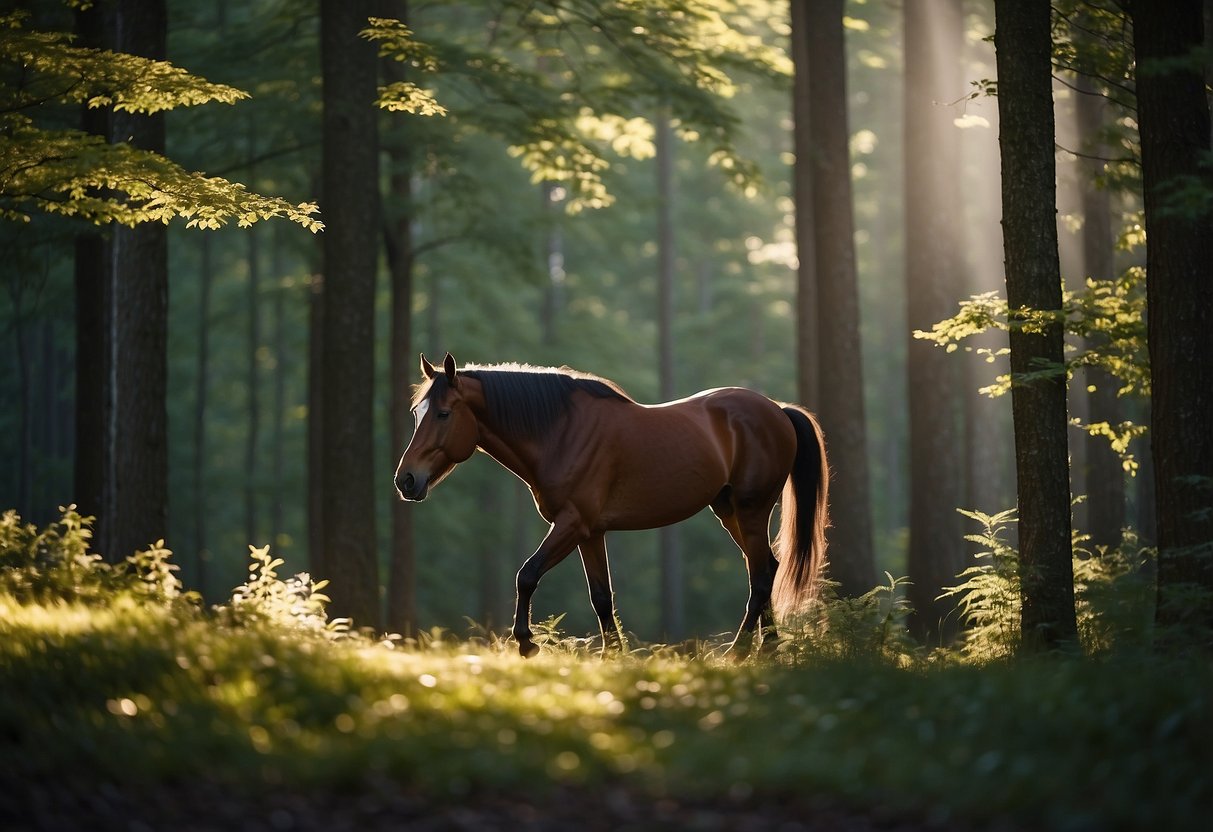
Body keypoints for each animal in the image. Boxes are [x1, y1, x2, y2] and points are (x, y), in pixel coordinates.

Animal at [393, 351, 829, 659]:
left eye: (443, 413)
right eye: (415, 413)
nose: (405, 480)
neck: (561, 433)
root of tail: (777, 410)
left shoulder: (571, 524)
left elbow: (527, 575)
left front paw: (526, 643)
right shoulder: (590, 532)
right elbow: (601, 596)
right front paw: (614, 655)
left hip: (752, 510)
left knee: (760, 576)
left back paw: (739, 653)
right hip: (730, 512)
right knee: (766, 567)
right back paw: (768, 649)